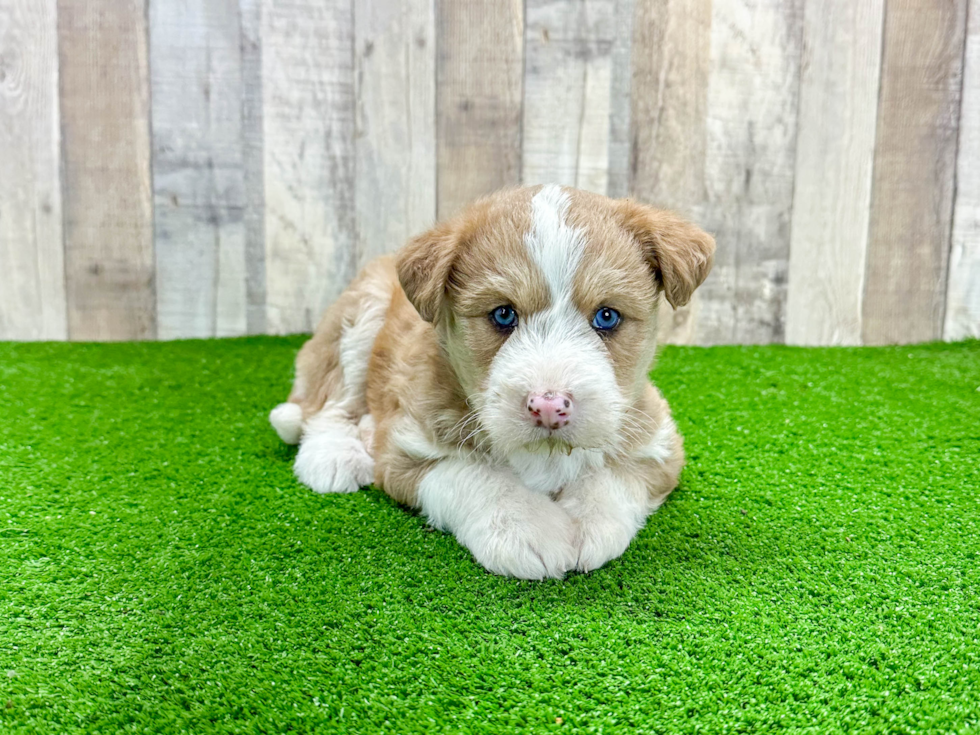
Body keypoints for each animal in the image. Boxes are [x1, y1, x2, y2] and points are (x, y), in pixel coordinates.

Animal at [268, 184, 712, 580]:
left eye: (607, 316)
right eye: (502, 314)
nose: (549, 406)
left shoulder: (658, 441)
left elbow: (614, 477)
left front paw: (590, 522)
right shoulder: (403, 448)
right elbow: (473, 475)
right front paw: (527, 526)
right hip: (360, 317)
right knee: (328, 402)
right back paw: (333, 454)